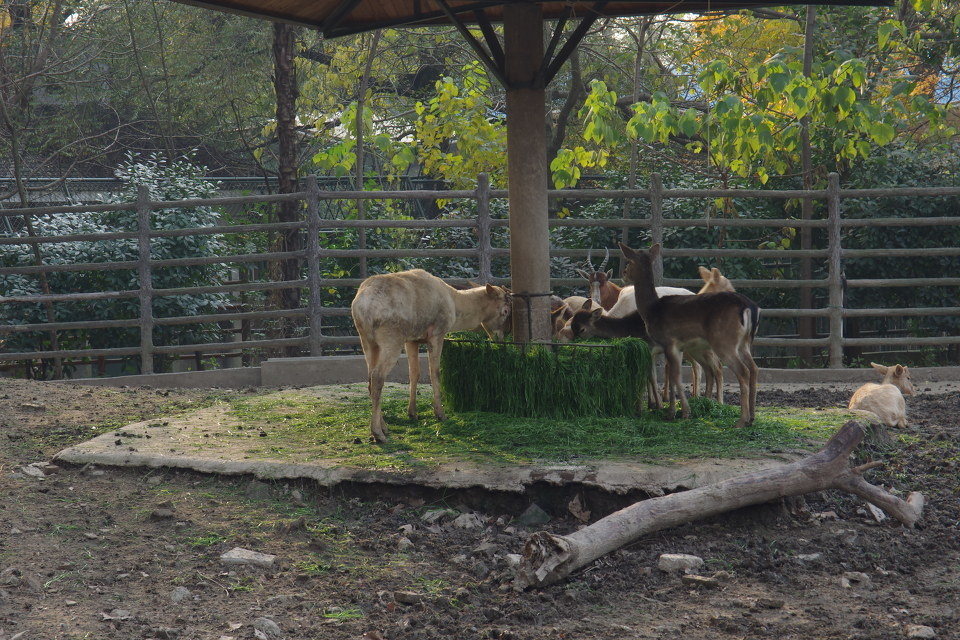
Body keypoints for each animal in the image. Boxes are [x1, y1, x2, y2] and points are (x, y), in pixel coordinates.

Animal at [351, 269, 512, 442]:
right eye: (505, 311)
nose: (502, 338)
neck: (456, 308)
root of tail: (361, 307)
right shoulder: (437, 332)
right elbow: (435, 372)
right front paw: (441, 414)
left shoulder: (412, 339)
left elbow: (414, 373)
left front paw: (412, 413)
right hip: (391, 337)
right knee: (377, 377)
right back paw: (378, 433)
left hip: (367, 340)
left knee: (370, 378)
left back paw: (385, 428)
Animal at [619, 242, 760, 428]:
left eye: (628, 262)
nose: (623, 274)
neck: (651, 310)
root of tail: (750, 307)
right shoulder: (677, 347)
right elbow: (673, 375)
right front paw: (676, 410)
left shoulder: (669, 342)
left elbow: (674, 375)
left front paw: (678, 412)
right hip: (744, 343)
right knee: (754, 368)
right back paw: (751, 417)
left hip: (724, 342)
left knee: (742, 371)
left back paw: (741, 420)